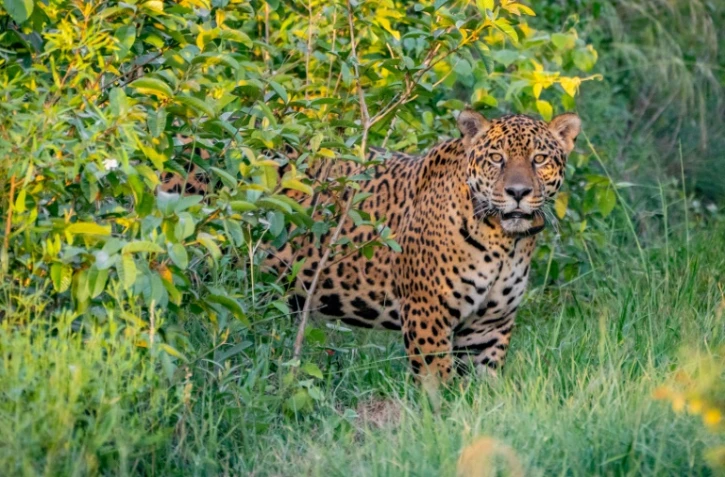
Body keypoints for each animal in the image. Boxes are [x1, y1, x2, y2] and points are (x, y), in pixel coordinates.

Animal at [267, 110, 582, 382]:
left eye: (539, 159)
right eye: (496, 158)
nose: (517, 192)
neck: (505, 243)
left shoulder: (489, 326)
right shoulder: (428, 313)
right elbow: (438, 383)